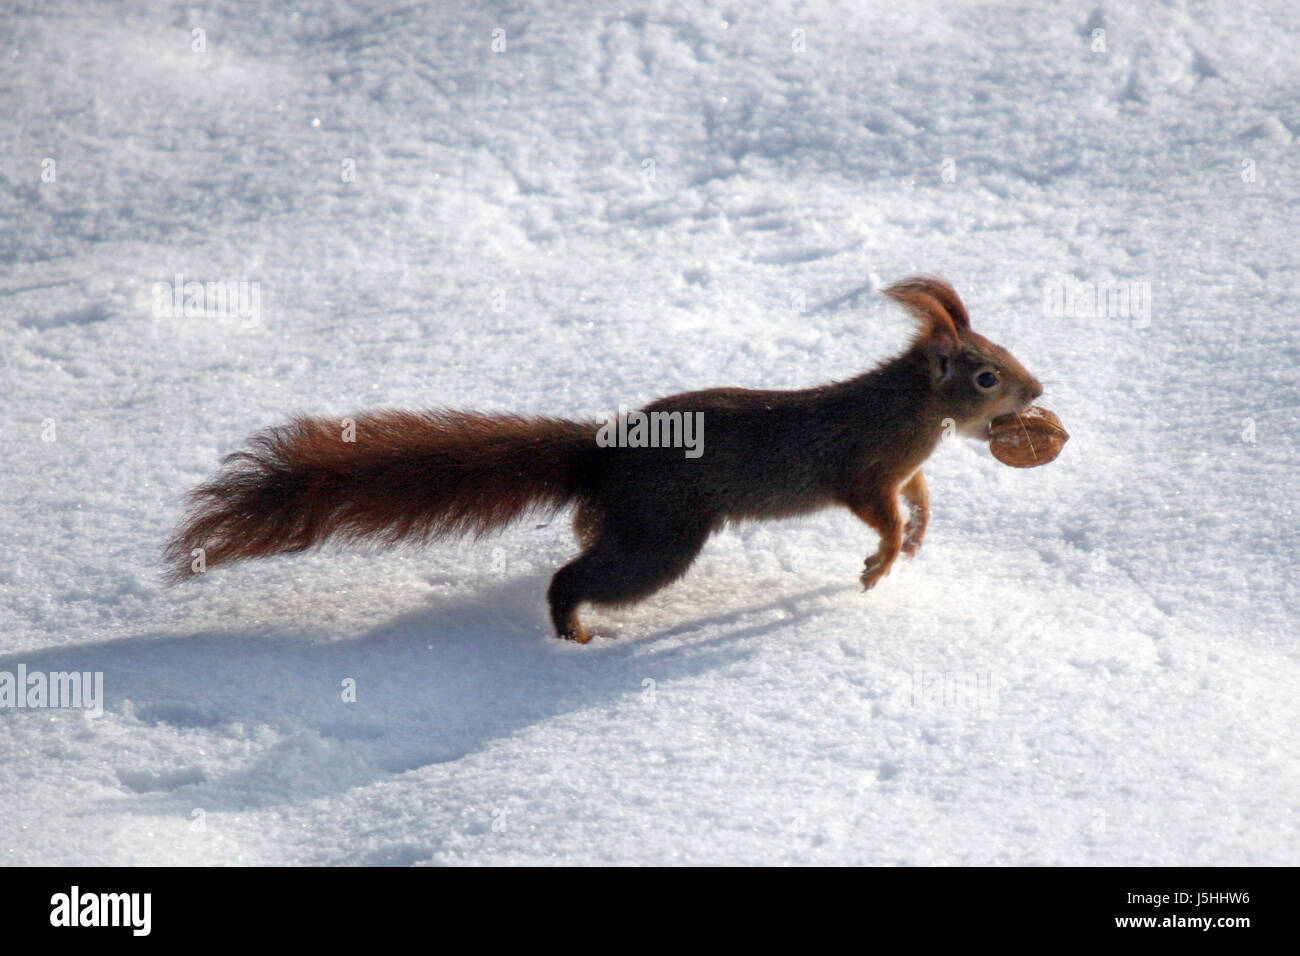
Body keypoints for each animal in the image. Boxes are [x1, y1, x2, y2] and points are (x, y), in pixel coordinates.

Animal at [167, 277, 1045, 642]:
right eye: (986, 374)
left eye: (1003, 353)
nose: (1039, 389)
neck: (911, 411)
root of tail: (598, 455)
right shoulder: (862, 468)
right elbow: (879, 513)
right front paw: (881, 562)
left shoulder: (906, 469)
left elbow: (920, 496)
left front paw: (920, 532)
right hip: (662, 537)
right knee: (575, 578)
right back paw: (575, 634)